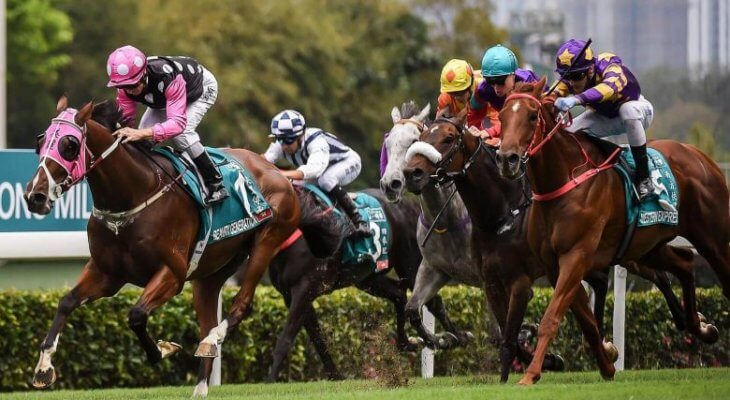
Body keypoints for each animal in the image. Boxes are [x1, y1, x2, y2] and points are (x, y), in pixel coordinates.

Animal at [24, 97, 338, 396]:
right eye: (40, 141)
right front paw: (43, 368)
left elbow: (136, 315)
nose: (35, 196)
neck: (133, 195)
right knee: (208, 316)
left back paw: (212, 340)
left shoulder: (172, 274)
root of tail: (278, 173)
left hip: (267, 240)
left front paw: (162, 350)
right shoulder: (107, 274)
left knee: (241, 304)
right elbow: (66, 302)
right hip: (212, 273)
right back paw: (200, 385)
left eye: (69, 145)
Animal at [492, 78, 724, 384]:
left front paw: (531, 374)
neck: (564, 180)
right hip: (647, 246)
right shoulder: (555, 265)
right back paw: (702, 328)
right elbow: (586, 321)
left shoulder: (576, 256)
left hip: (713, 237)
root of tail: (699, 155)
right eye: (502, 116)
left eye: (532, 116)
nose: (507, 159)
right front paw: (607, 364)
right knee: (685, 263)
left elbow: (551, 317)